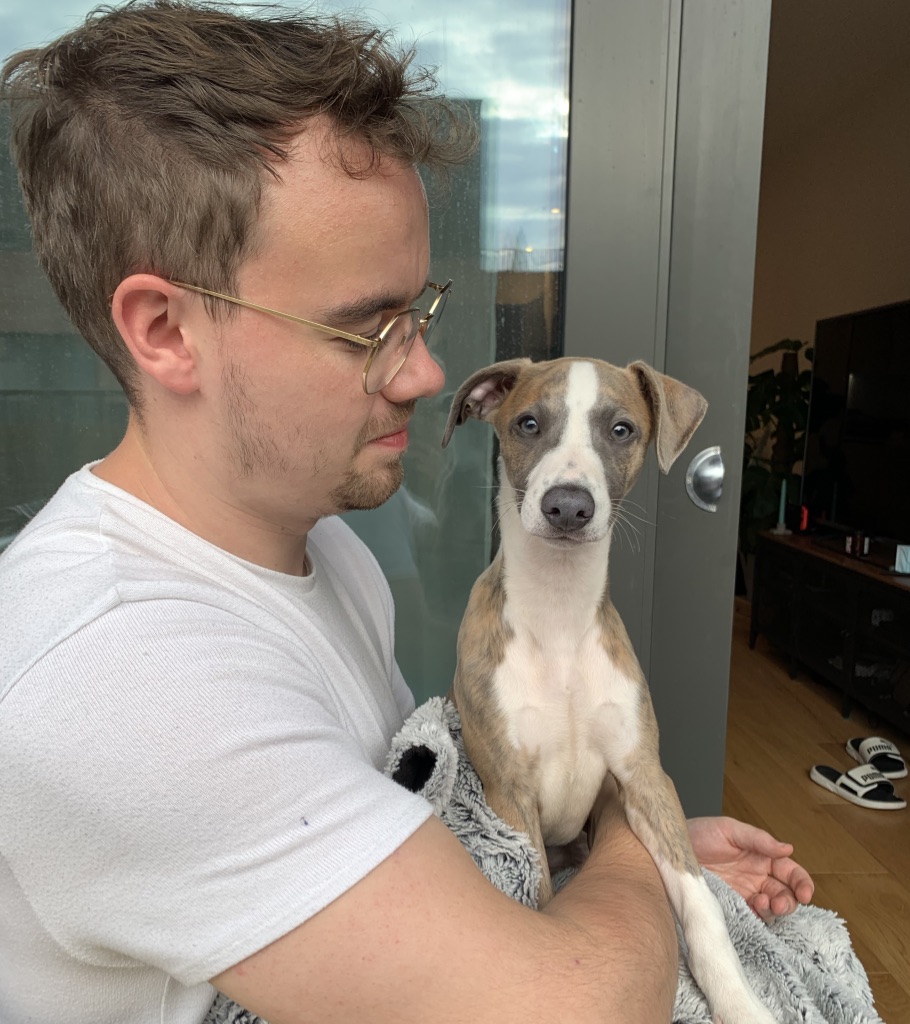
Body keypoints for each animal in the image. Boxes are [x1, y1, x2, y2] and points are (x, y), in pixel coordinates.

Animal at [440, 358, 773, 1024]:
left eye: (622, 429)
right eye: (528, 423)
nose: (568, 507)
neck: (560, 616)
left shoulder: (644, 775)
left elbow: (702, 904)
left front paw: (741, 1004)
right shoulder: (510, 794)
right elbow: (539, 891)